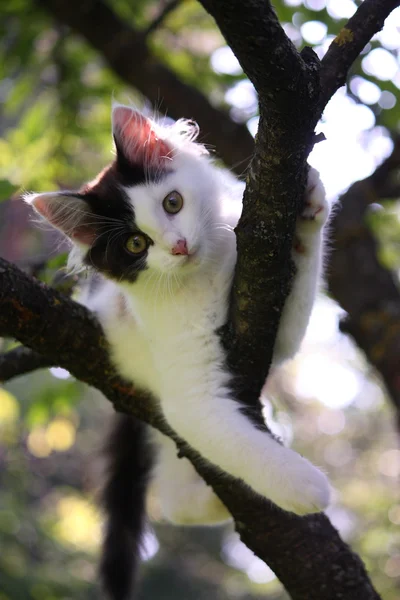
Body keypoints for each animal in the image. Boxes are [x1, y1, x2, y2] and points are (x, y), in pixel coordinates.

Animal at [24, 104, 332, 600]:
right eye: (135, 244)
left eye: (173, 203)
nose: (179, 246)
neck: (205, 272)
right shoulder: (188, 396)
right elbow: (235, 442)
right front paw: (307, 488)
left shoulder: (276, 329)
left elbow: (299, 291)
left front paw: (308, 208)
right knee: (176, 504)